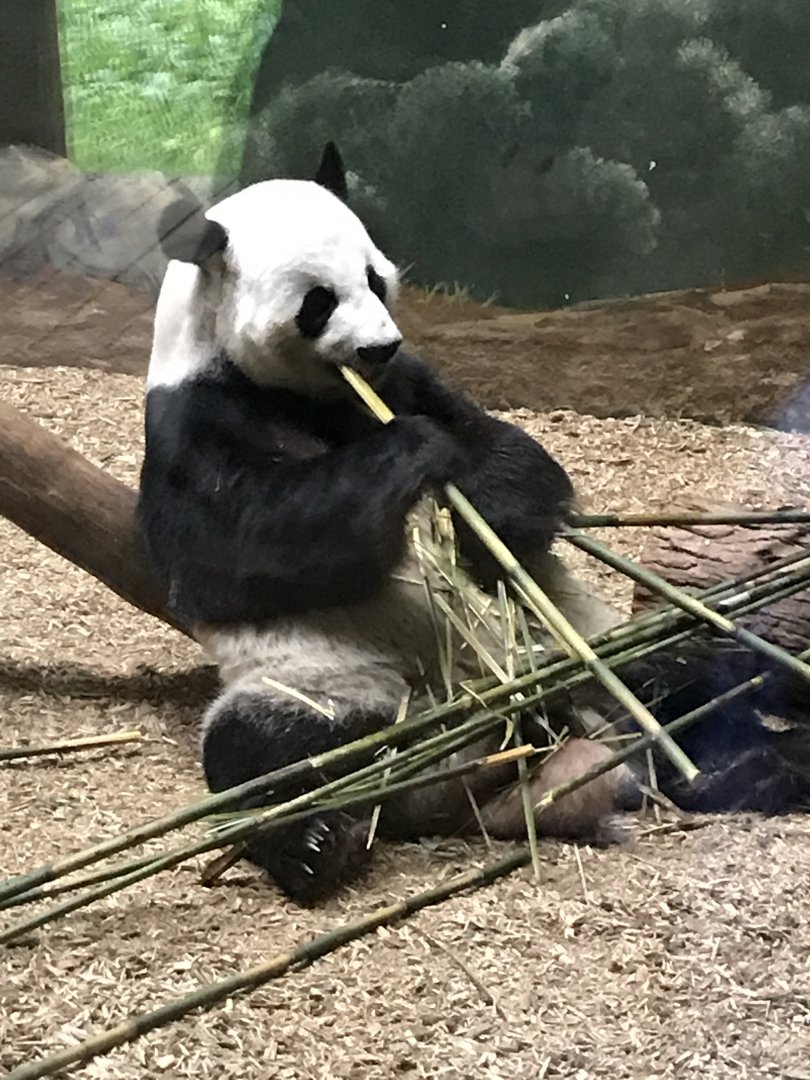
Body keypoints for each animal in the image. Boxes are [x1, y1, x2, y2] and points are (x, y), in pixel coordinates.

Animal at [137, 144, 805, 904]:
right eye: (318, 301)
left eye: (375, 277)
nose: (378, 347)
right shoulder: (195, 422)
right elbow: (240, 549)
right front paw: (412, 452)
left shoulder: (410, 383)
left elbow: (517, 460)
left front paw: (481, 503)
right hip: (329, 689)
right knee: (261, 756)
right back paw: (316, 845)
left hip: (592, 651)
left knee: (686, 680)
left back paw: (756, 761)